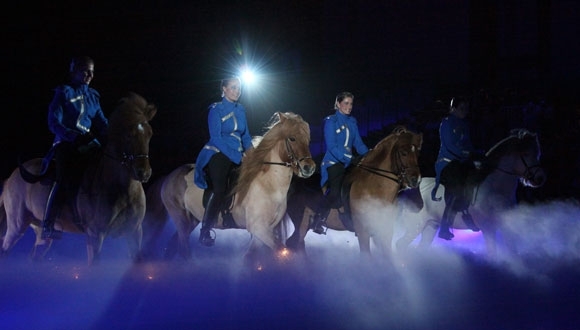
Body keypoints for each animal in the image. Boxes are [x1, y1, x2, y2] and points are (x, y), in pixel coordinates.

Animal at [0, 92, 156, 266]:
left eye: (149, 134)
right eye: (128, 135)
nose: (144, 173)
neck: (123, 190)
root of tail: (10, 179)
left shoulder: (135, 232)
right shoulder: (95, 236)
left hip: (41, 235)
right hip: (16, 226)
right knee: (5, 250)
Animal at [144, 112, 318, 264]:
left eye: (308, 140)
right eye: (292, 138)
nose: (309, 168)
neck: (269, 184)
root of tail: (169, 176)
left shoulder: (262, 231)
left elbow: (249, 259)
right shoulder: (258, 227)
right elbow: (282, 250)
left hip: (192, 219)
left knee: (174, 246)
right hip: (179, 216)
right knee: (184, 248)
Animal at [286, 125, 422, 258]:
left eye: (418, 152)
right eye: (403, 153)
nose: (415, 179)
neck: (375, 188)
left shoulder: (385, 231)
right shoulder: (363, 232)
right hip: (301, 223)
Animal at [396, 127, 548, 256]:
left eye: (537, 153)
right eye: (526, 153)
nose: (540, 178)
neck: (495, 187)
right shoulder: (489, 229)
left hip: (430, 226)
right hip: (415, 226)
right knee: (400, 245)